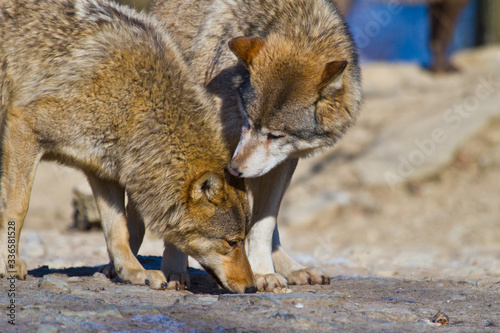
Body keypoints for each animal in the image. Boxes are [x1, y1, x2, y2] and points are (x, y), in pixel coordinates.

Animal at [150, 0, 362, 290]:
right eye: (248, 121)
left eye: (276, 136)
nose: (234, 169)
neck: (298, 27)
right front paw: (173, 270)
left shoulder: (283, 163)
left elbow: (263, 226)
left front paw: (262, 273)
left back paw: (293, 269)